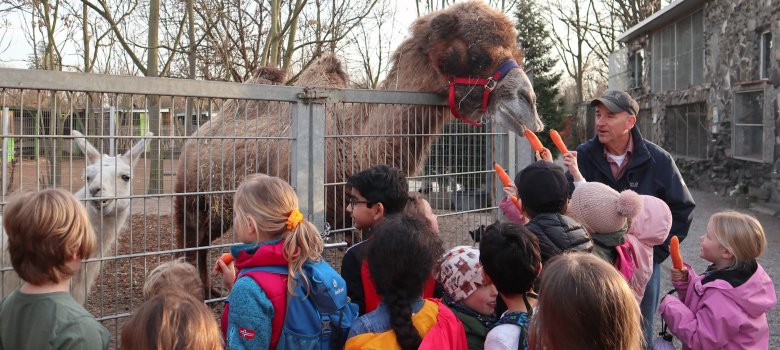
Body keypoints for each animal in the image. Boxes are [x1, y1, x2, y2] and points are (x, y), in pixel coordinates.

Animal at [175, 1, 544, 294]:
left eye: (517, 52)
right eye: (477, 55)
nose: (530, 105)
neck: (353, 145)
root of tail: (195, 137)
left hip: (221, 204)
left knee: (202, 242)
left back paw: (208, 289)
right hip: (189, 193)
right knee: (188, 241)